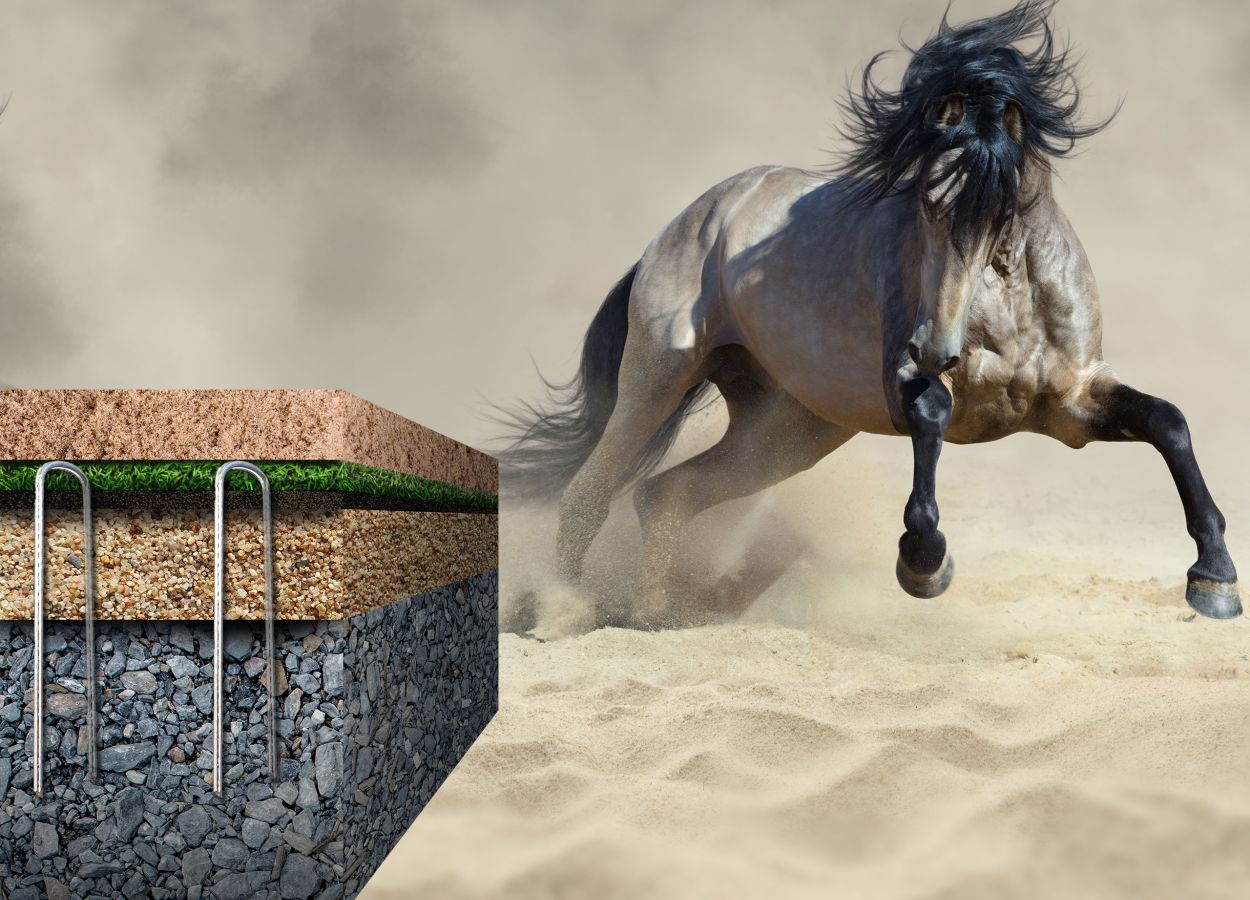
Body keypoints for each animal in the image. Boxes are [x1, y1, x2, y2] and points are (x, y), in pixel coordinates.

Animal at [500, 0, 1240, 627]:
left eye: (1001, 209)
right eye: (926, 203)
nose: (936, 348)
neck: (1011, 303)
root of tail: (688, 222)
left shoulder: (1073, 406)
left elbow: (1168, 423)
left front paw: (1214, 579)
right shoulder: (905, 384)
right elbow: (932, 419)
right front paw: (923, 565)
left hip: (790, 429)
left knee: (666, 495)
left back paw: (658, 614)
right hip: (659, 377)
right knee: (590, 493)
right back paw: (559, 609)